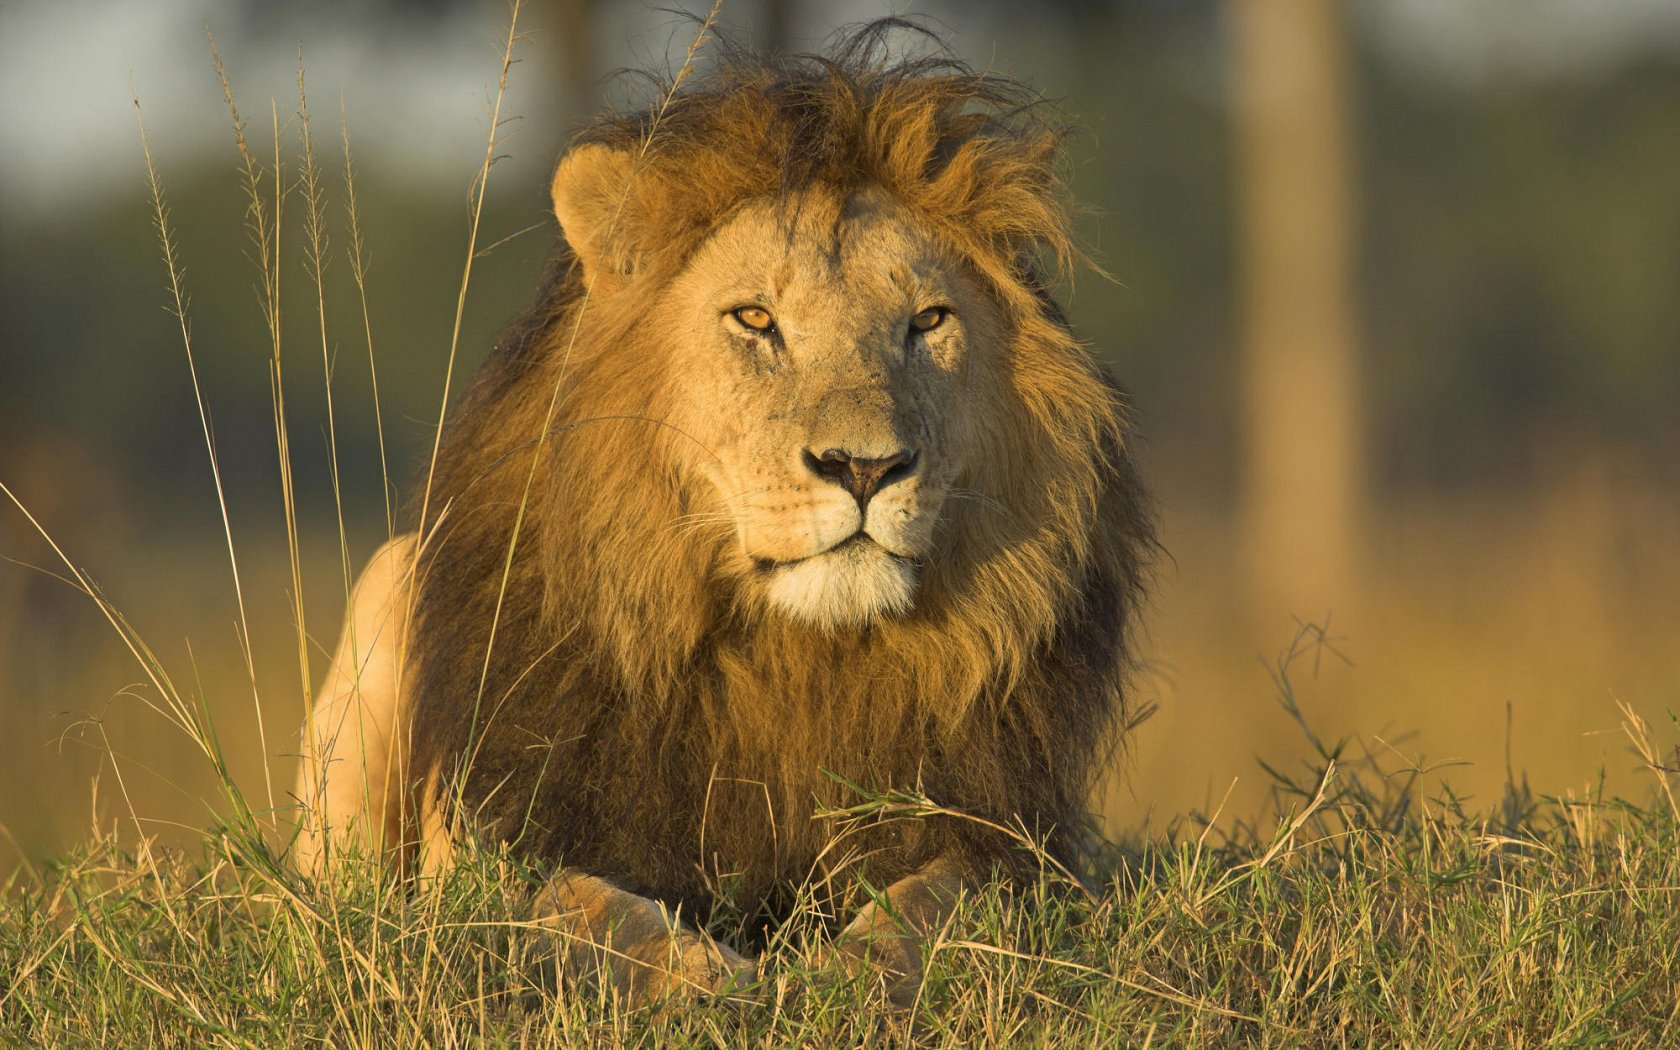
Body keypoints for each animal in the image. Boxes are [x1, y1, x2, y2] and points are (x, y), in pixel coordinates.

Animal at [295, 24, 1149, 1007]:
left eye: (928, 321)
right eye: (755, 320)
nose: (865, 466)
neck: (796, 659)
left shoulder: (1010, 838)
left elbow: (935, 902)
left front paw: (846, 978)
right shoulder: (500, 840)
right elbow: (588, 910)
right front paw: (709, 982)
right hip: (387, 587)